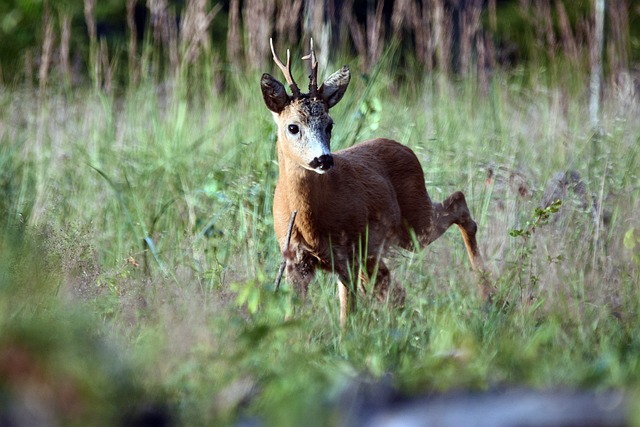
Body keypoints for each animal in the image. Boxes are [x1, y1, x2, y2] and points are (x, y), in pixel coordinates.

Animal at [262, 39, 488, 328]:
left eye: (330, 124)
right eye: (293, 127)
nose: (323, 159)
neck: (310, 221)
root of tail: (403, 147)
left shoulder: (348, 251)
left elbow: (347, 311)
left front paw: (346, 336)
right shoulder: (294, 258)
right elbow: (295, 313)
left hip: (415, 222)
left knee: (459, 202)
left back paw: (488, 294)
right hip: (380, 247)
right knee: (394, 289)